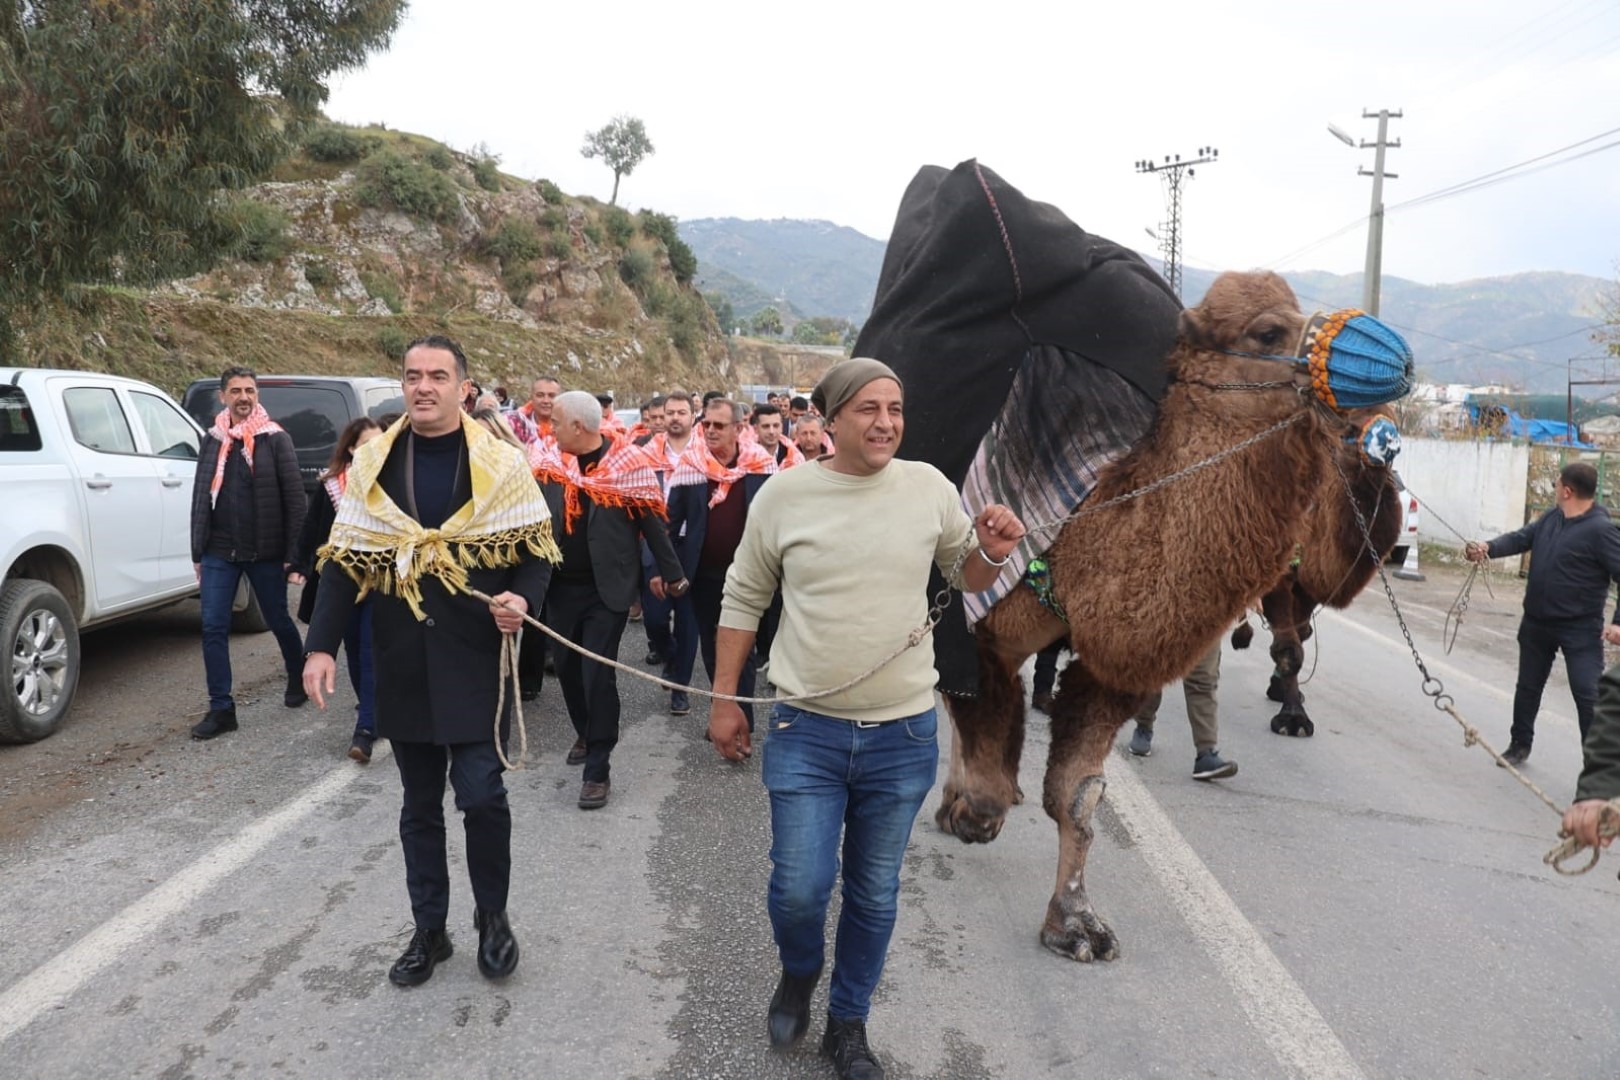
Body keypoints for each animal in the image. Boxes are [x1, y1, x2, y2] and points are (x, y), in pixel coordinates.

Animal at [1237, 409, 1406, 738]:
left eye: (1394, 420)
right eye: (1350, 430)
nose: (1389, 444)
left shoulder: (1308, 585)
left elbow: (1302, 636)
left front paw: (1281, 692)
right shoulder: (1280, 575)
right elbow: (1289, 650)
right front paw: (1292, 719)